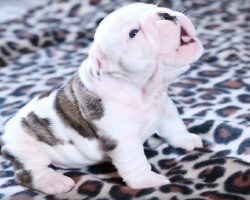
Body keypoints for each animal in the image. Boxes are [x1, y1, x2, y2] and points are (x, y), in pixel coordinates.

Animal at [1, 2, 203, 195]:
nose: (166, 14)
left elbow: (174, 127)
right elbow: (135, 160)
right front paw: (146, 181)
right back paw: (54, 181)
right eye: (133, 33)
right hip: (25, 148)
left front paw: (186, 140)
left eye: (157, 7)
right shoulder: (122, 138)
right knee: (30, 171)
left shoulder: (166, 109)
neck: (145, 91)